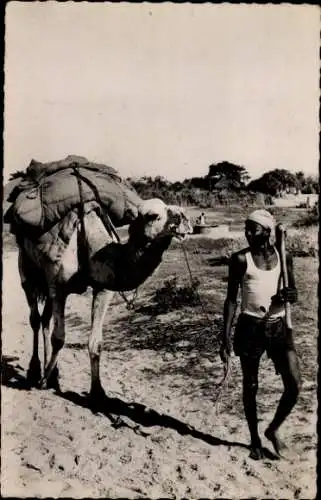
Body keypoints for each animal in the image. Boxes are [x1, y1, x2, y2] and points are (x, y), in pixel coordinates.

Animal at [16, 197, 191, 404]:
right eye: (153, 215)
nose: (184, 221)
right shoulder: (59, 288)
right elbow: (59, 338)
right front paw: (44, 381)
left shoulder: (103, 289)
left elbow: (96, 341)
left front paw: (97, 392)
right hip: (27, 271)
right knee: (35, 318)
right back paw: (35, 370)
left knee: (45, 319)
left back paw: (53, 372)